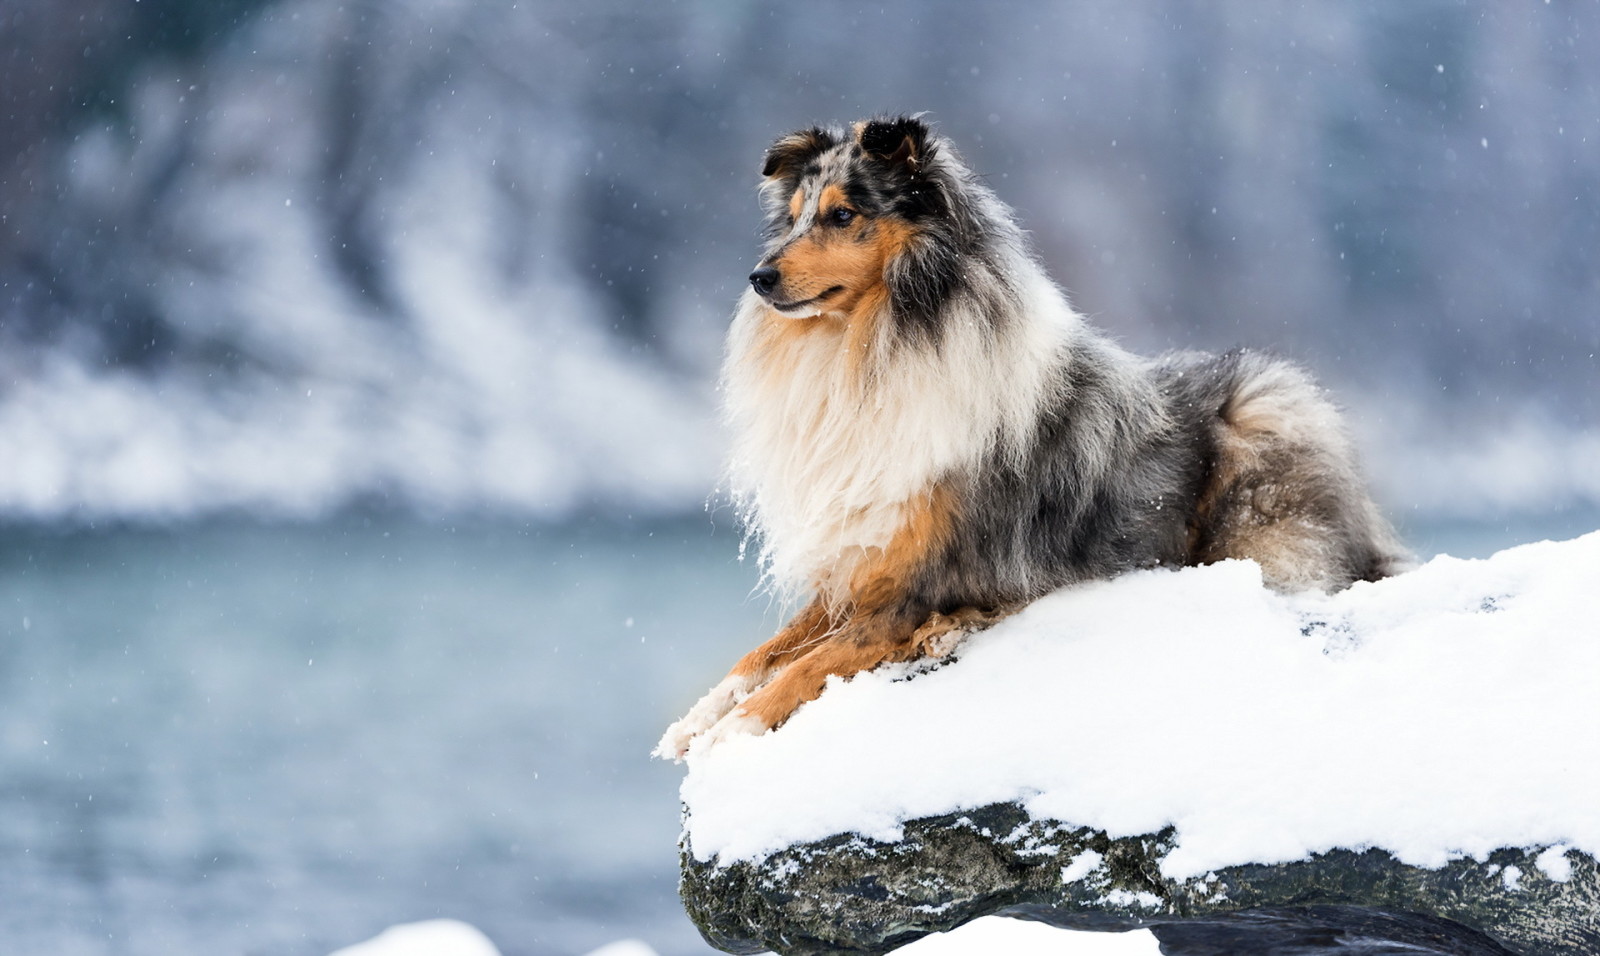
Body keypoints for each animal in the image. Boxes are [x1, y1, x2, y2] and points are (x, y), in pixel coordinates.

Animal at [656, 115, 1408, 760]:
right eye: (791, 219)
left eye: (843, 215)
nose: (758, 278)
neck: (875, 347)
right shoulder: (863, 562)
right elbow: (766, 651)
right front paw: (695, 721)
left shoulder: (915, 586)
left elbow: (805, 666)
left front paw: (730, 732)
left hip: (1261, 459)